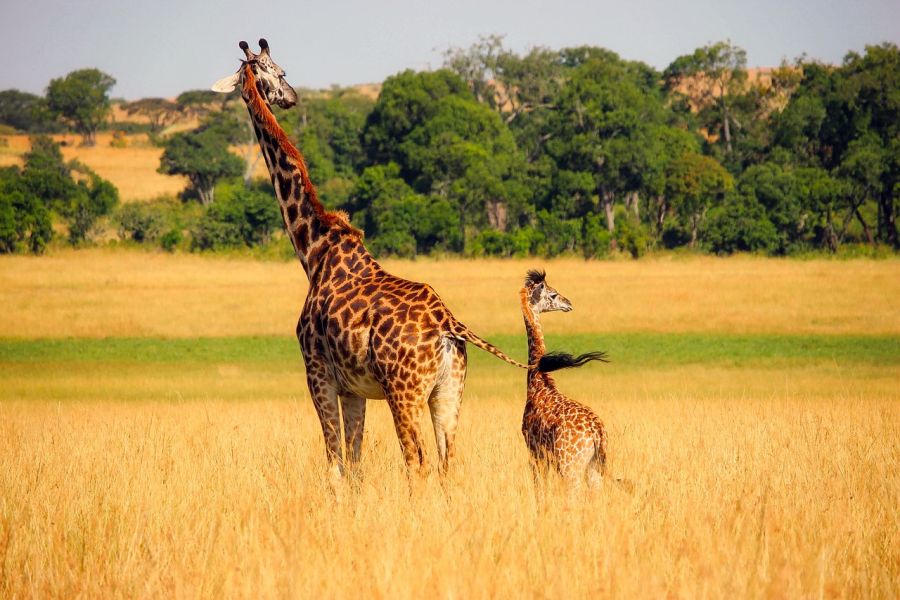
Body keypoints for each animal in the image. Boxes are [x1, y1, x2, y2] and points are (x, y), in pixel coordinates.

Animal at [214, 39, 524, 486]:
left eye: (278, 71)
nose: (290, 97)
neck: (314, 251)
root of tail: (450, 325)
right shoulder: (354, 389)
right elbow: (355, 463)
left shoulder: (318, 373)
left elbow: (335, 463)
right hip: (449, 391)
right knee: (447, 463)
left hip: (404, 392)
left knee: (417, 463)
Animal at [520, 270, 620, 490]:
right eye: (553, 294)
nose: (569, 303)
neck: (538, 381)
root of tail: (598, 433)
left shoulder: (534, 450)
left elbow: (540, 489)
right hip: (592, 468)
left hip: (570, 467)